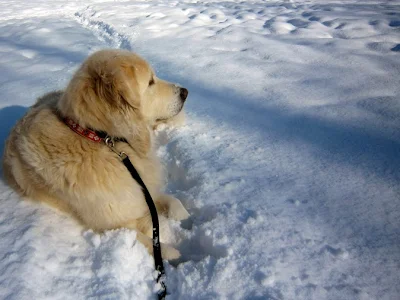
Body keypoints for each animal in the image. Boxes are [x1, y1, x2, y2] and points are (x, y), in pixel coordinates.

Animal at [2, 49, 191, 260]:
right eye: (150, 81)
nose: (185, 92)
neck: (99, 138)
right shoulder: (113, 224)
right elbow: (151, 242)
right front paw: (175, 254)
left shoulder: (140, 190)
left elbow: (172, 201)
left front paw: (184, 218)